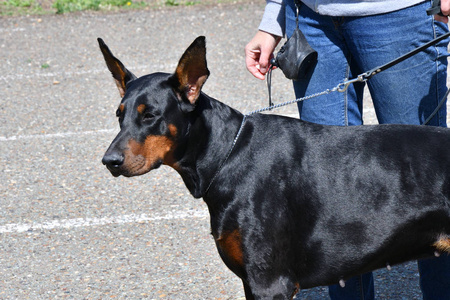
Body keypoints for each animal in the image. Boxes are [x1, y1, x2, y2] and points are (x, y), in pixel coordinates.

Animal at [99, 36, 450, 298]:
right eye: (119, 114)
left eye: (150, 115)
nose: (109, 161)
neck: (228, 155)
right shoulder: (250, 280)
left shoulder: (270, 282)